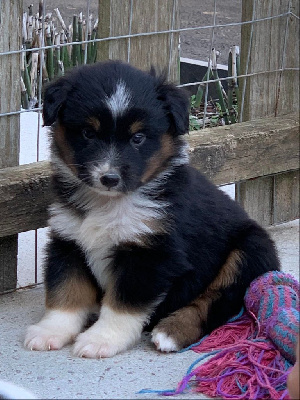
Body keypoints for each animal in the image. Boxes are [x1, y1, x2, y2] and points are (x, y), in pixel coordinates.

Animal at [23, 61, 278, 358]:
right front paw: (50, 331)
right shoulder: (68, 240)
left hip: (250, 248)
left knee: (217, 299)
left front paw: (101, 339)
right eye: (88, 133)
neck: (109, 203)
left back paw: (171, 332)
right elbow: (66, 291)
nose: (109, 178)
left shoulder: (151, 253)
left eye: (138, 138)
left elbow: (123, 304)